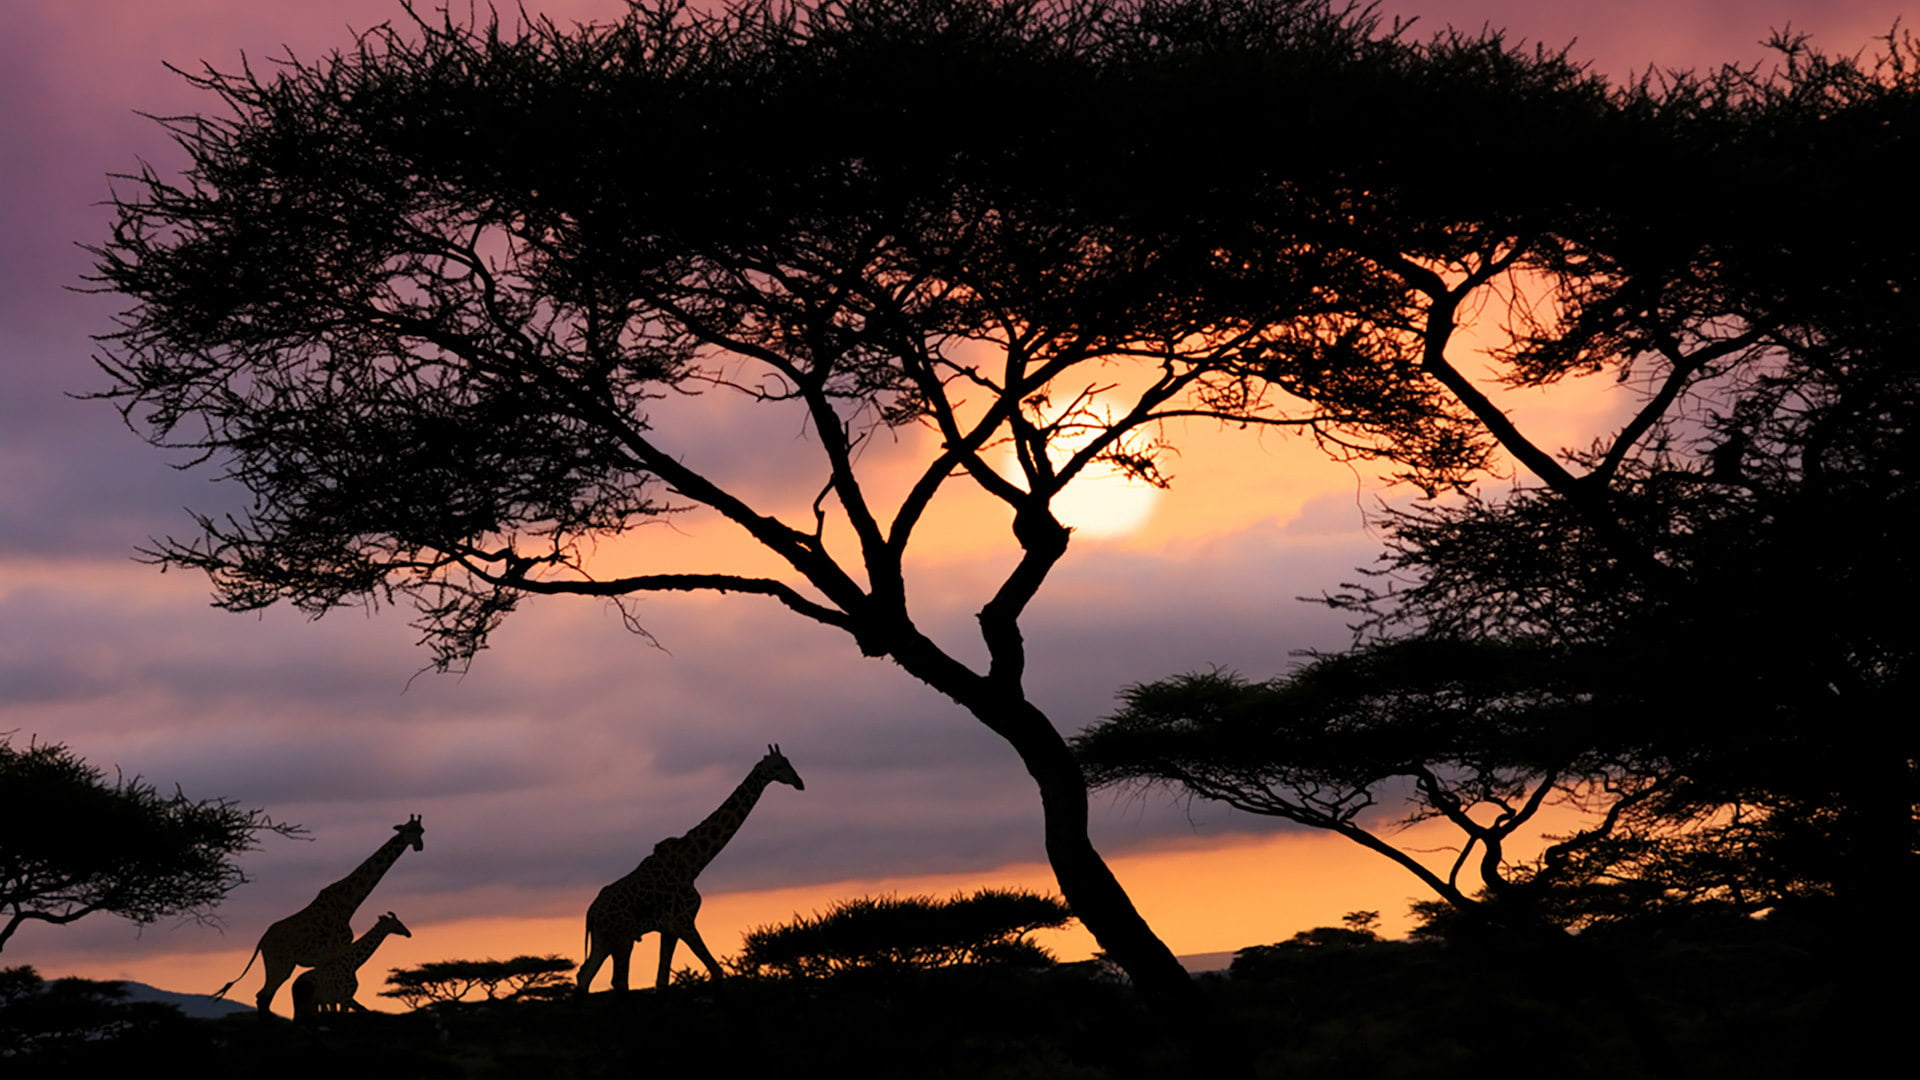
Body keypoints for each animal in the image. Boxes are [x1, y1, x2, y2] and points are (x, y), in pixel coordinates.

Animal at [214, 814, 424, 1006]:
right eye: (409, 830)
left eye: (421, 830)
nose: (419, 846)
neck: (348, 904)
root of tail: (261, 942)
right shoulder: (336, 952)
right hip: (281, 964)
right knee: (264, 996)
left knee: (263, 996)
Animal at [576, 737, 802, 991]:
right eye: (778, 766)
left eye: (788, 761)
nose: (799, 783)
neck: (693, 863)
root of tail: (591, 912)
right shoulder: (684, 921)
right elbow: (715, 970)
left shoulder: (670, 929)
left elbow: (662, 980)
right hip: (622, 937)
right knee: (618, 980)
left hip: (603, 940)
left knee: (585, 975)